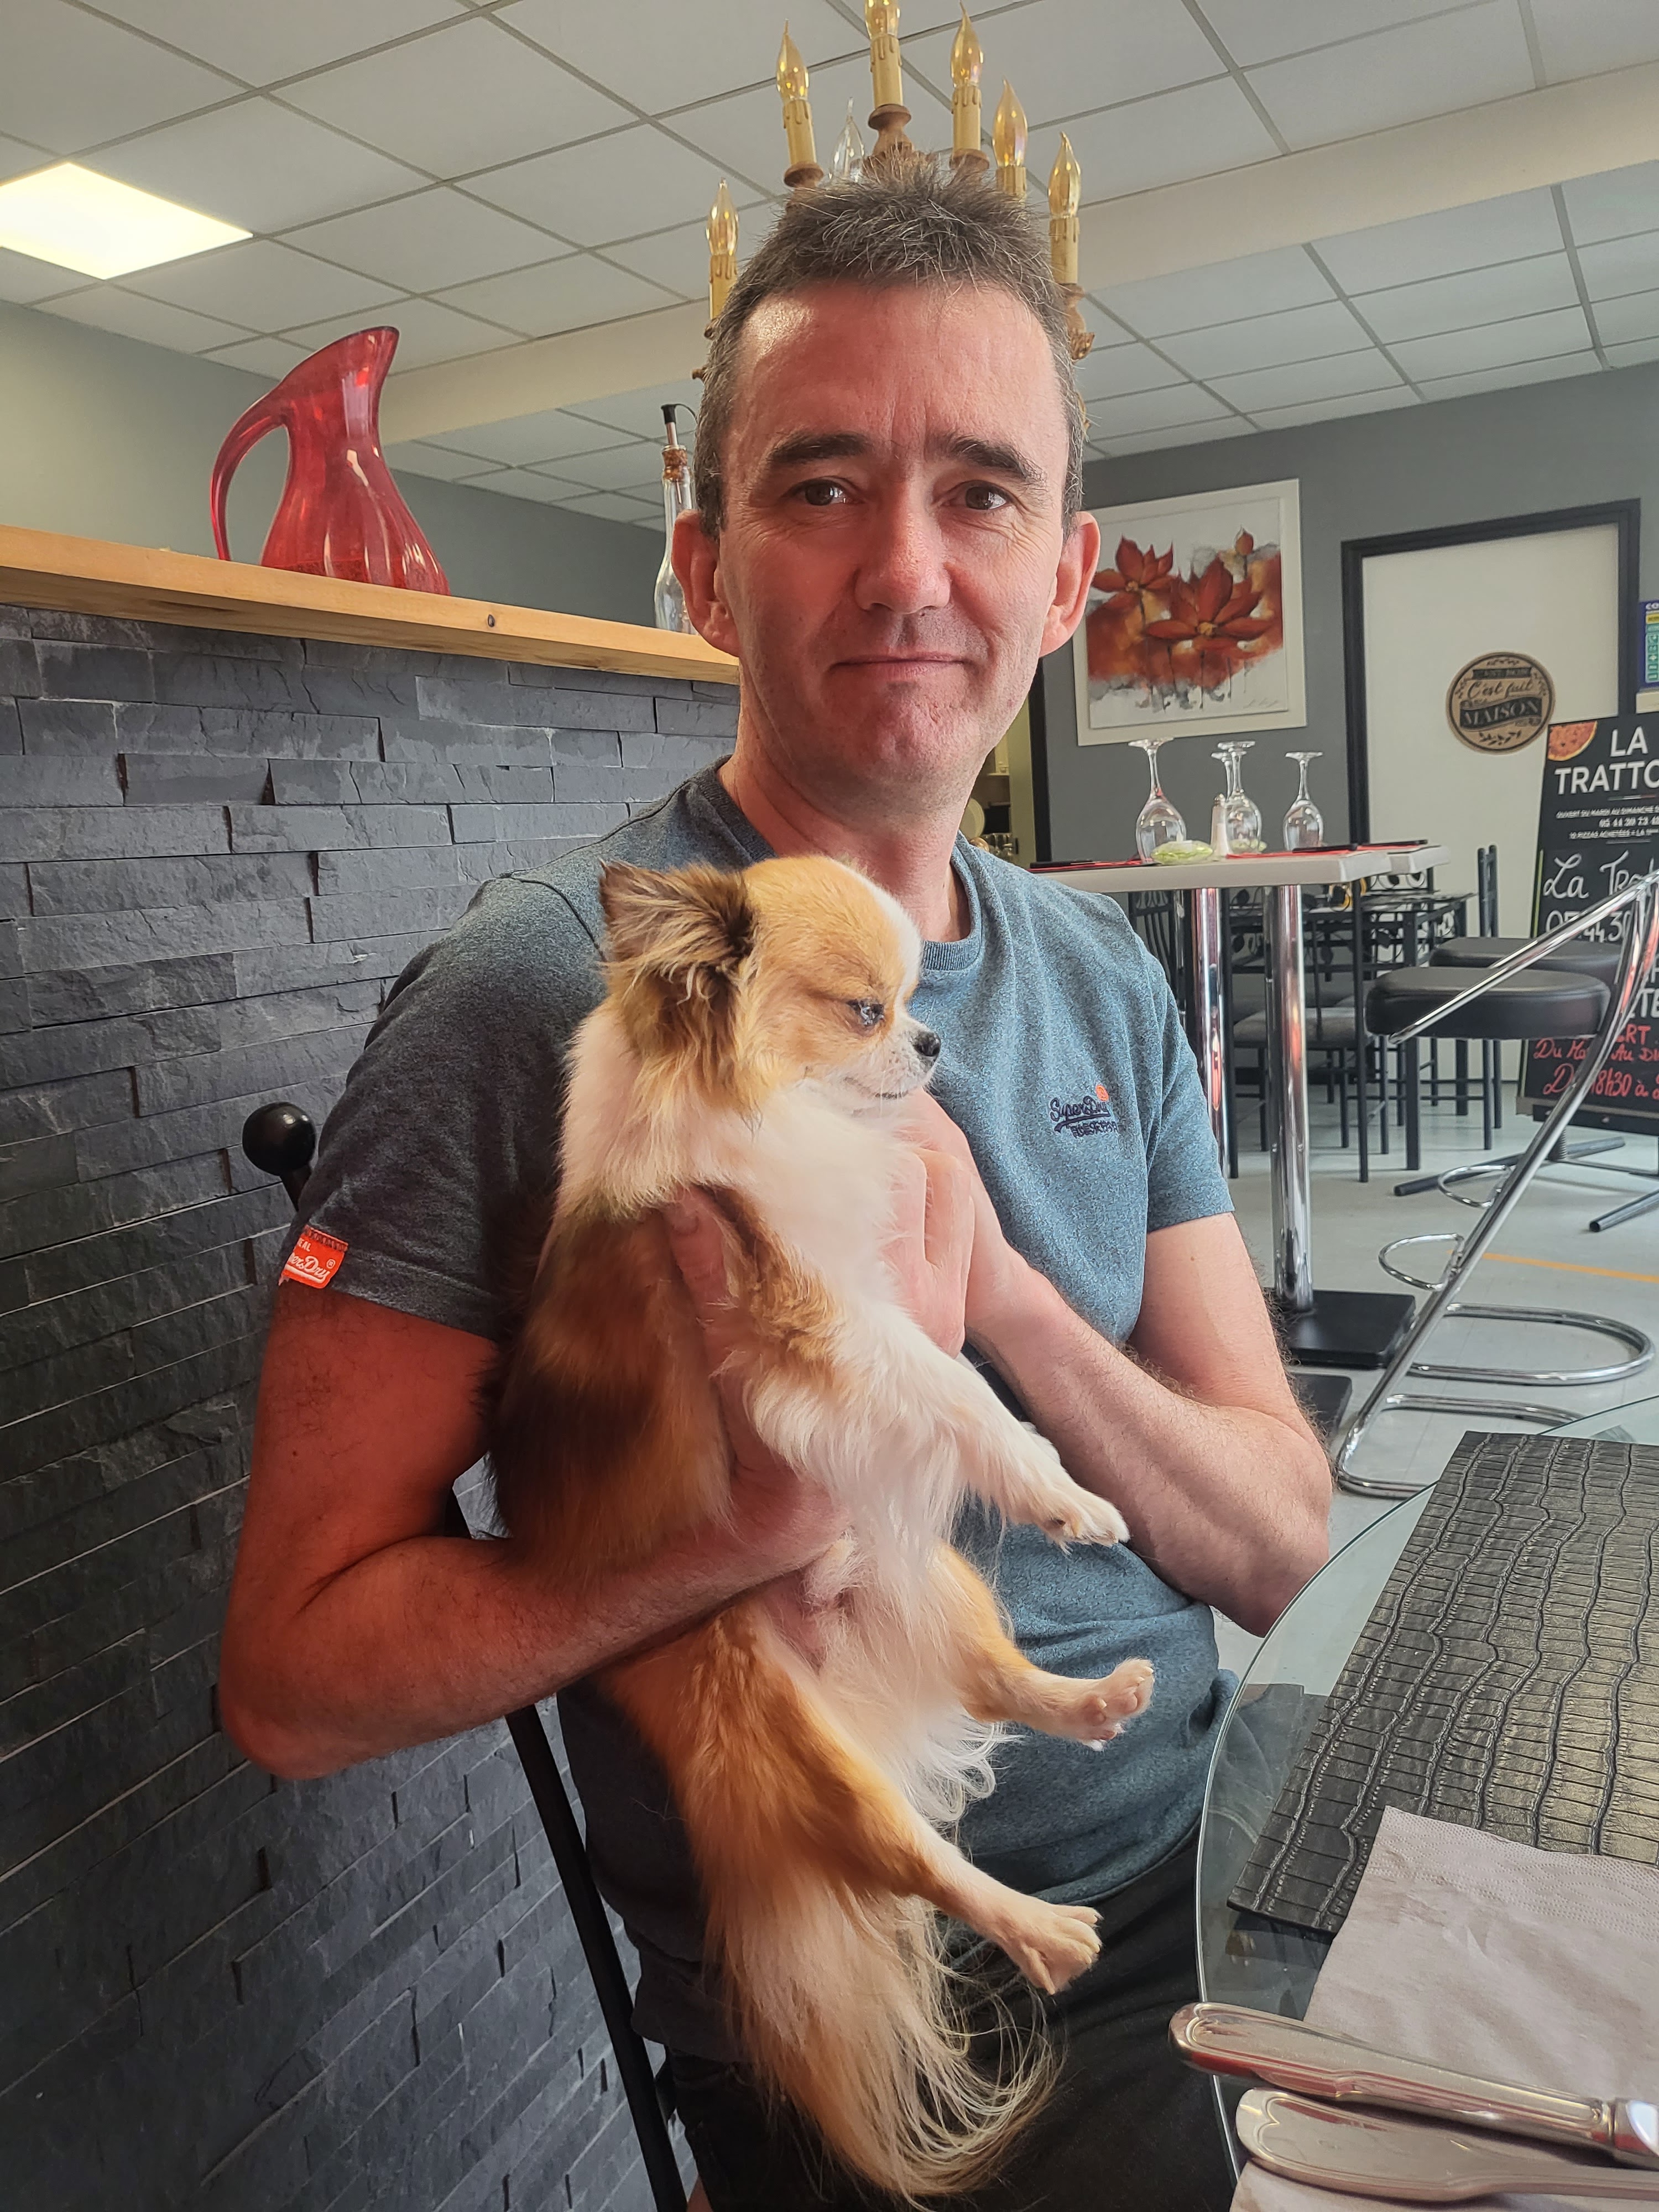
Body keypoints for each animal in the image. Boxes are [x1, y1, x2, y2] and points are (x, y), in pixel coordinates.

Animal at [488, 854, 1154, 2201]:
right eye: (865, 1010)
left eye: (910, 1001)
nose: (934, 1038)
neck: (779, 1113)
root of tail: (852, 1675)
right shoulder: (819, 1313)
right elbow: (958, 1392)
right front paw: (1056, 1486)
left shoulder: (866, 1301)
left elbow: (953, 1379)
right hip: (792, 1752)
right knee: (907, 1854)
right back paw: (1041, 1929)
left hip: (934, 1583)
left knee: (997, 1683)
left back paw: (1099, 1698)